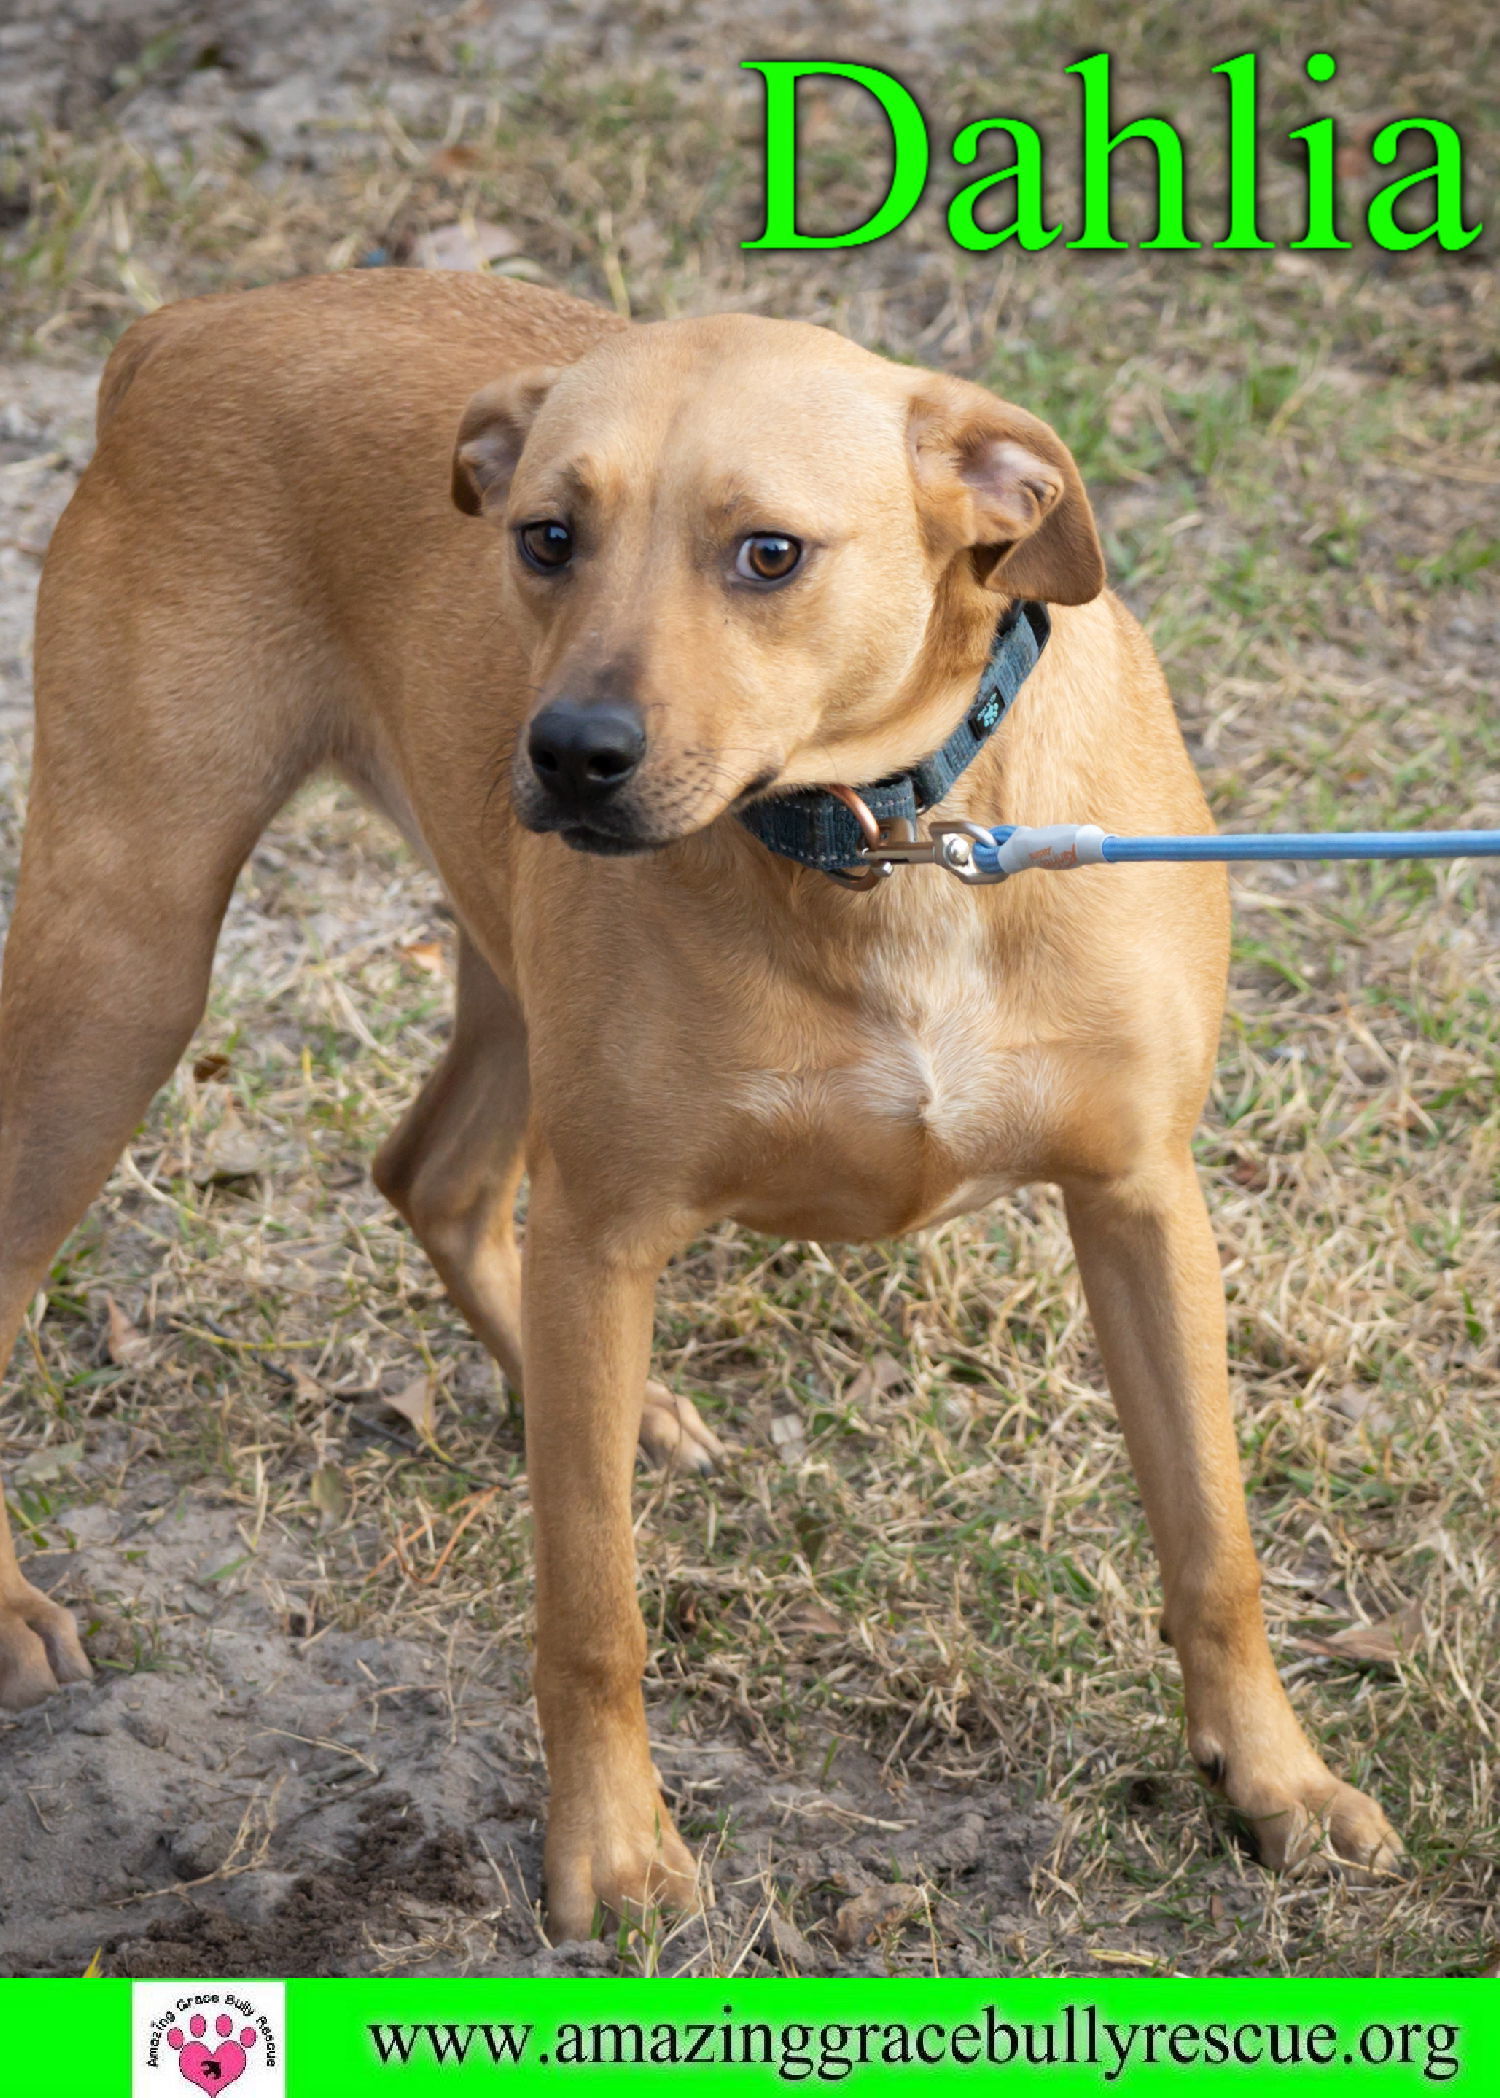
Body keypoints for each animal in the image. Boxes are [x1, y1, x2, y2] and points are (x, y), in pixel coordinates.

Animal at [2, 274, 1409, 1930]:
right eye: (547, 535)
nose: (572, 752)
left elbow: (1214, 1542)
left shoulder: (1141, 1200)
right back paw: (17, 1608)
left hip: (503, 974)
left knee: (434, 1173)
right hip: (127, 966)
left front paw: (1278, 1780)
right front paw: (612, 1848)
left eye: (769, 553)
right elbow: (590, 1604)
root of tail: (189, 324)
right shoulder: (608, 1228)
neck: (888, 839)